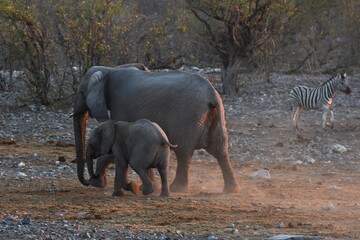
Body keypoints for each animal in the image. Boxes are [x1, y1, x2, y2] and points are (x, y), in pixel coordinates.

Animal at [73, 64, 240, 193]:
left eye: (81, 93)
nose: (88, 180)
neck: (109, 70)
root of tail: (212, 94)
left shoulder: (120, 105)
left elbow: (113, 150)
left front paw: (97, 184)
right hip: (215, 116)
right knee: (220, 150)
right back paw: (231, 190)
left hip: (188, 118)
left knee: (184, 152)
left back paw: (176, 189)